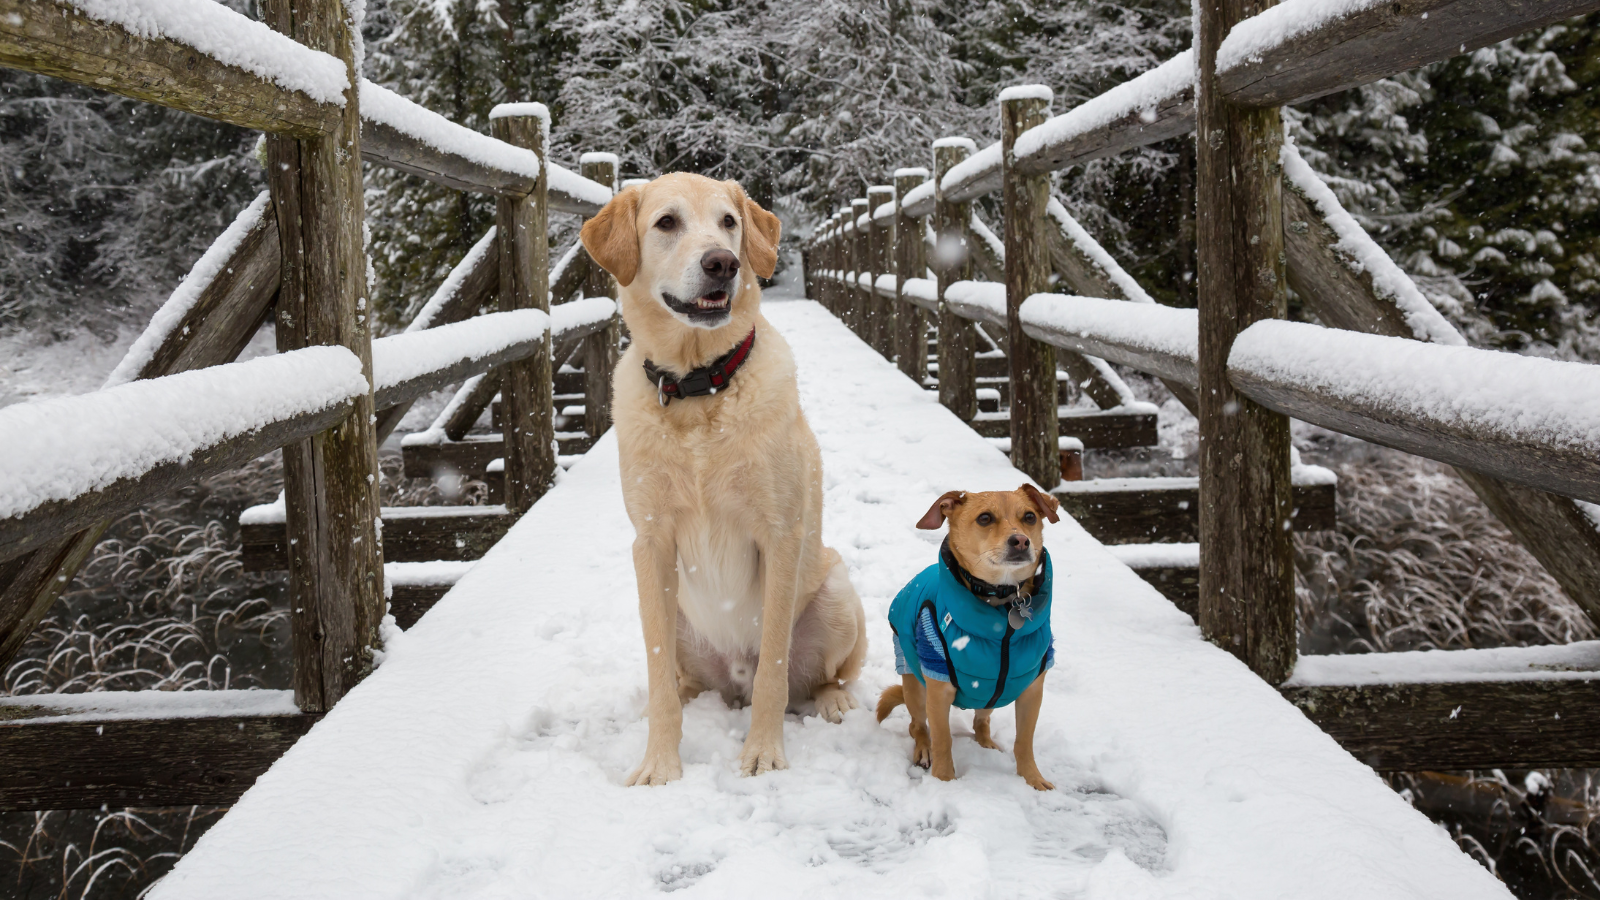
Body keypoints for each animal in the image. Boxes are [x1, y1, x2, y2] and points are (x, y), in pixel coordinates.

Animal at [876, 483, 1062, 784]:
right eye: (985, 518)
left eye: (1030, 517)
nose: (1021, 541)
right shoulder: (938, 687)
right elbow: (943, 739)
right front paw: (944, 781)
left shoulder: (1032, 689)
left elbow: (1024, 741)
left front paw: (1032, 780)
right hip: (915, 685)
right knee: (918, 725)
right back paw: (923, 750)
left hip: (991, 693)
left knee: (981, 721)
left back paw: (986, 745)